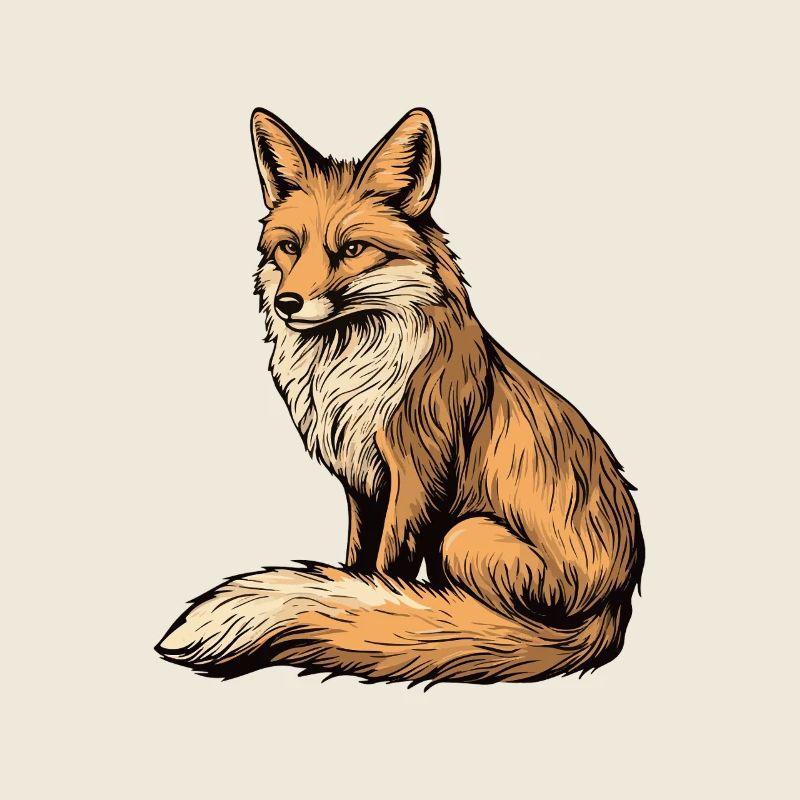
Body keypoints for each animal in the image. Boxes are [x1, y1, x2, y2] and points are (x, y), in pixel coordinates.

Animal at [156, 107, 644, 684]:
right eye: (290, 246)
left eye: (352, 249)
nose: (287, 303)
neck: (347, 372)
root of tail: (617, 603)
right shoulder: (361, 482)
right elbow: (358, 564)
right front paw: (356, 599)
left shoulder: (416, 474)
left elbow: (388, 571)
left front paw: (381, 612)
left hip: (464, 535)